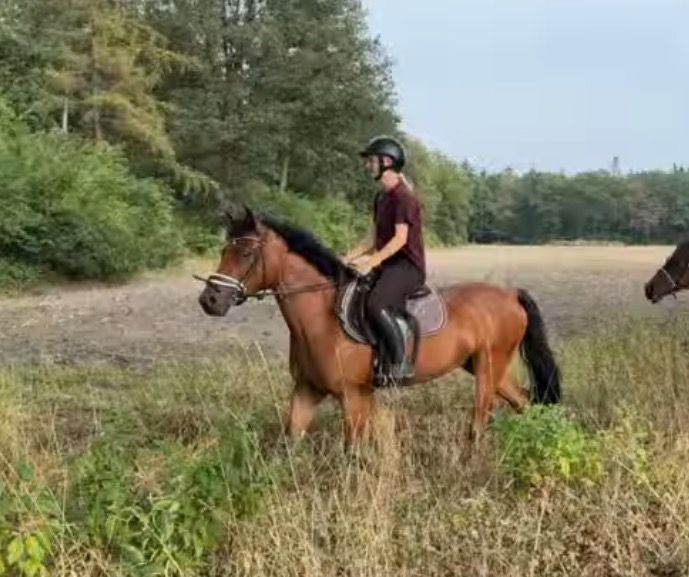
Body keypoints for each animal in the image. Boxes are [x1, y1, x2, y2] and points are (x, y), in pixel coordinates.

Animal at [196, 206, 562, 448]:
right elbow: (291, 443)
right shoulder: (307, 391)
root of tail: (510, 294)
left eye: (246, 253)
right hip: (485, 367)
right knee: (524, 402)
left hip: (488, 368)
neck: (320, 320)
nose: (210, 300)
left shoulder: (353, 395)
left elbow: (353, 451)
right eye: (223, 250)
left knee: (480, 421)